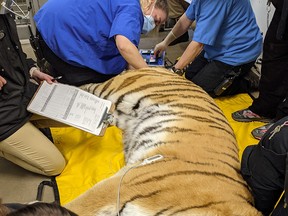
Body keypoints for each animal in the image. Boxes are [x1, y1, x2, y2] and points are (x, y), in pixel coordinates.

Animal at [64, 67, 260, 216]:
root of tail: (163, 68)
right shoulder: (123, 185)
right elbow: (77, 205)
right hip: (114, 89)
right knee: (85, 86)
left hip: (122, 113)